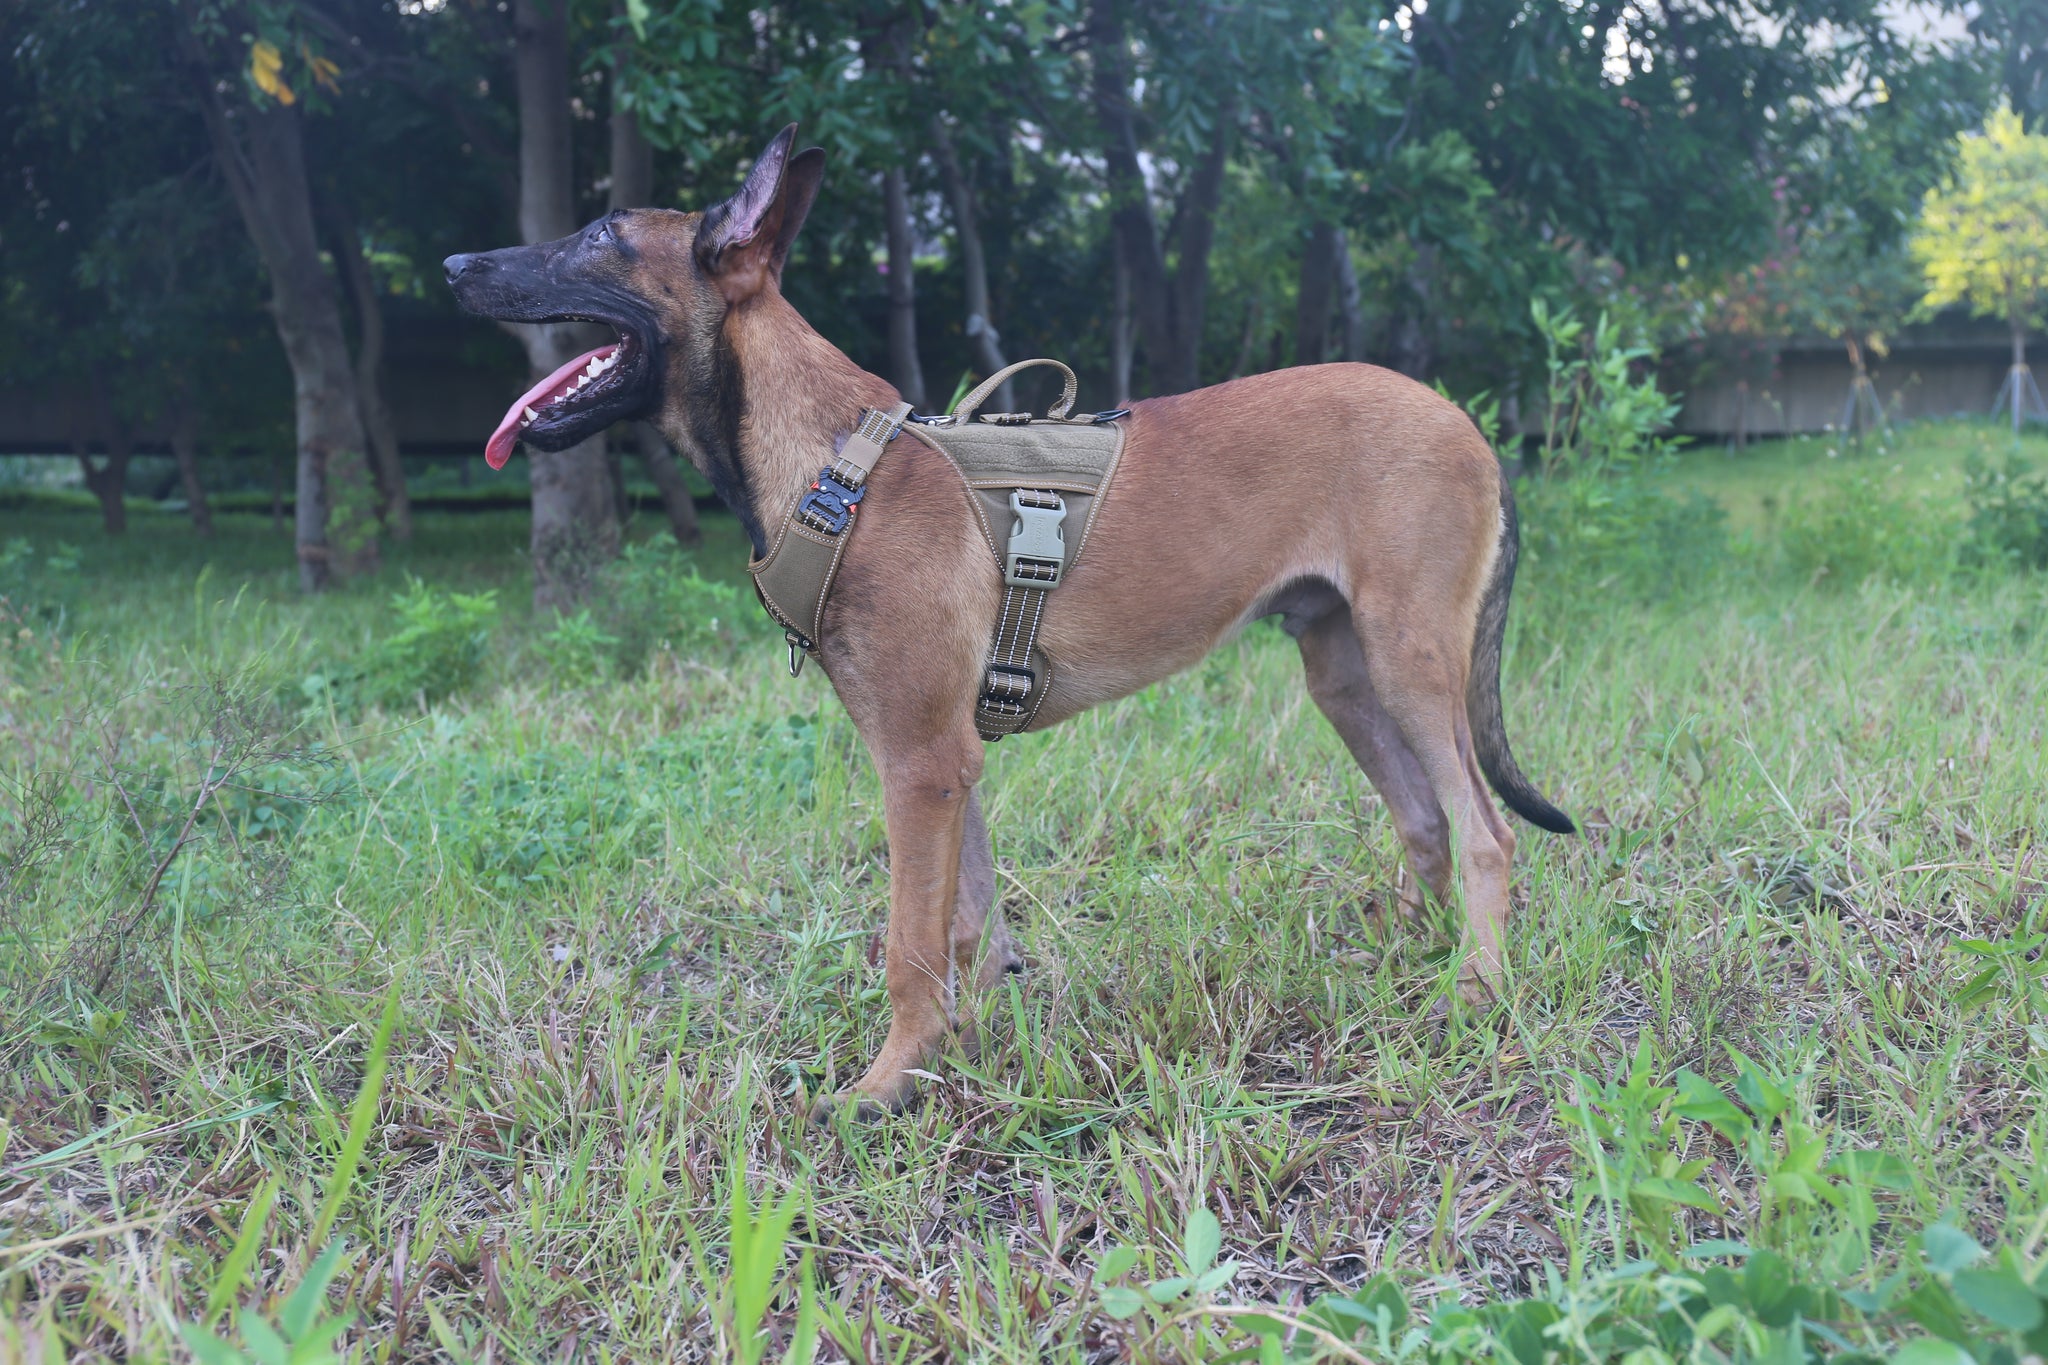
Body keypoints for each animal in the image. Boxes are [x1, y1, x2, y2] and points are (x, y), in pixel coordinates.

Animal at [444, 125, 1564, 1121]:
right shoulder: (947, 763)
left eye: (602, 234)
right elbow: (969, 931)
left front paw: (884, 1086)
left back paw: (1473, 991)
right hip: (1344, 675)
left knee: (1485, 832)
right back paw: (1401, 957)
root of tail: (1464, 422)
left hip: (1411, 664)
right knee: (1423, 819)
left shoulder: (917, 763)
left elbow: (909, 943)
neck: (833, 469)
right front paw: (962, 1053)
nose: (454, 263)